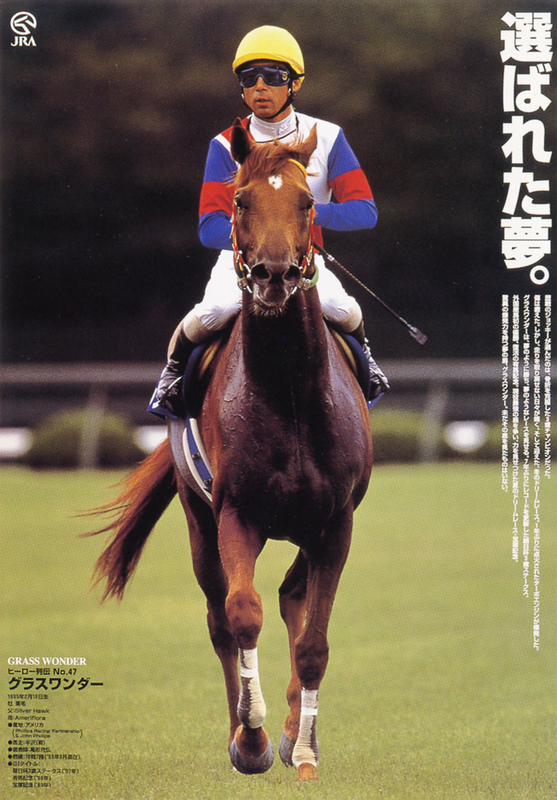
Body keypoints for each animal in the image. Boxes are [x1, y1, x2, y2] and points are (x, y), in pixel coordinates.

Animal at [88, 119, 373, 782]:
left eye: (307, 203)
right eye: (240, 201)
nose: (273, 275)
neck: (290, 393)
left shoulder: (336, 522)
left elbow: (314, 641)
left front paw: (304, 749)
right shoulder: (235, 514)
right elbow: (242, 615)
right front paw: (252, 740)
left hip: (306, 528)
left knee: (293, 597)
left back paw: (296, 733)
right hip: (200, 521)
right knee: (221, 617)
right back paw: (249, 732)